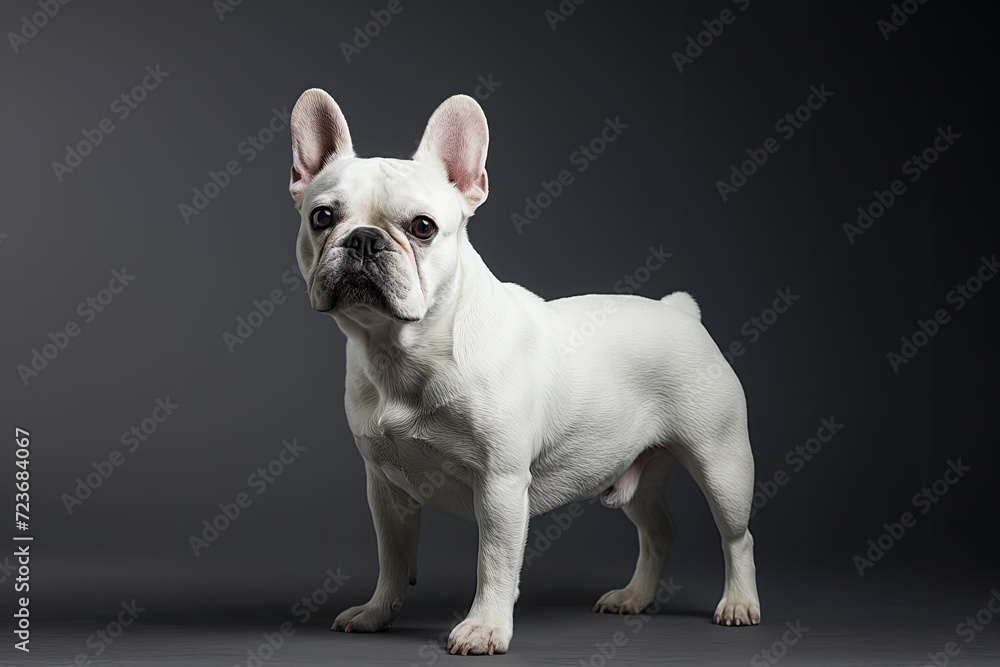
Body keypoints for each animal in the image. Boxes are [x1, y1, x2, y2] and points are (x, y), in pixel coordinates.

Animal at [286, 88, 760, 656]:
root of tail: (680, 311)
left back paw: (738, 603)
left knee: (736, 536)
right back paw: (634, 596)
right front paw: (378, 613)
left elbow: (494, 562)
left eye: (422, 227)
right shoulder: (386, 489)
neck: (402, 350)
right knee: (658, 530)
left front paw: (485, 628)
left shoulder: (501, 484)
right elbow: (392, 560)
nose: (362, 239)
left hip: (722, 462)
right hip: (636, 466)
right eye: (322, 216)